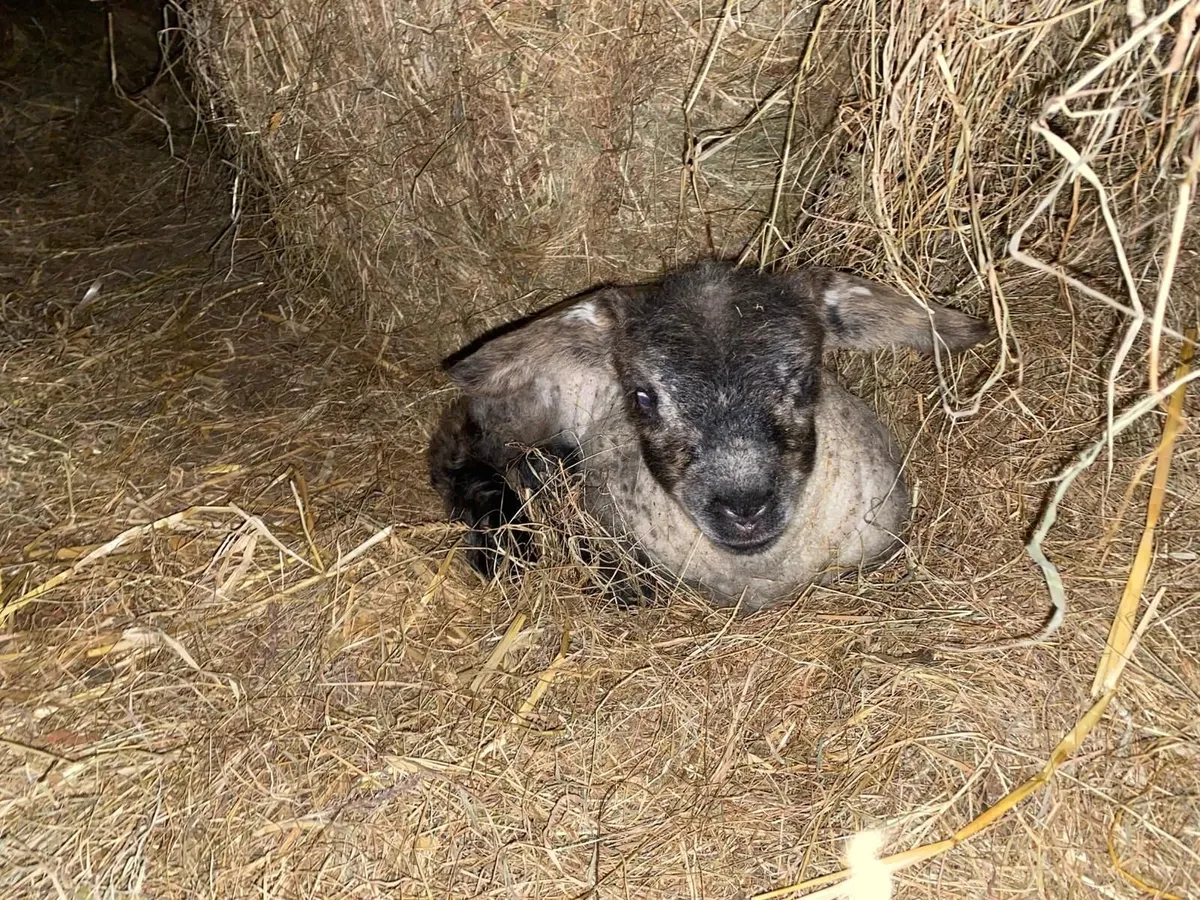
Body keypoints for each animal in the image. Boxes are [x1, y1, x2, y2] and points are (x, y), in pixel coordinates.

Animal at [428, 260, 990, 611]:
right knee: (459, 453)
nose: (744, 508)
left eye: (807, 378)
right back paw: (503, 543)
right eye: (642, 397)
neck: (759, 573)